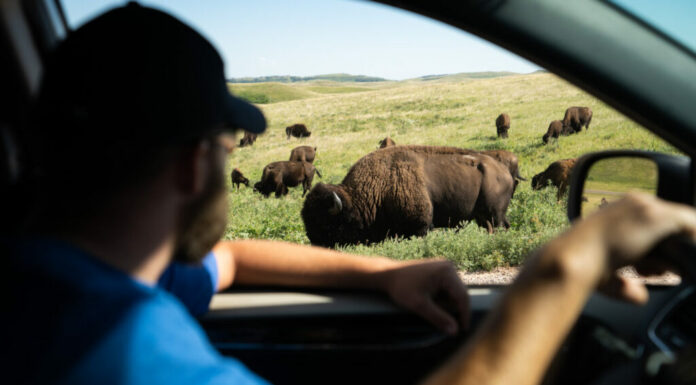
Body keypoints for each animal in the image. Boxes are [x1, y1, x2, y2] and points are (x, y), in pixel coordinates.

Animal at [302, 146, 512, 248]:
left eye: (327, 224)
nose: (316, 246)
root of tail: (504, 171)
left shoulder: (420, 227)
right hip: (484, 217)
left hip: (495, 215)